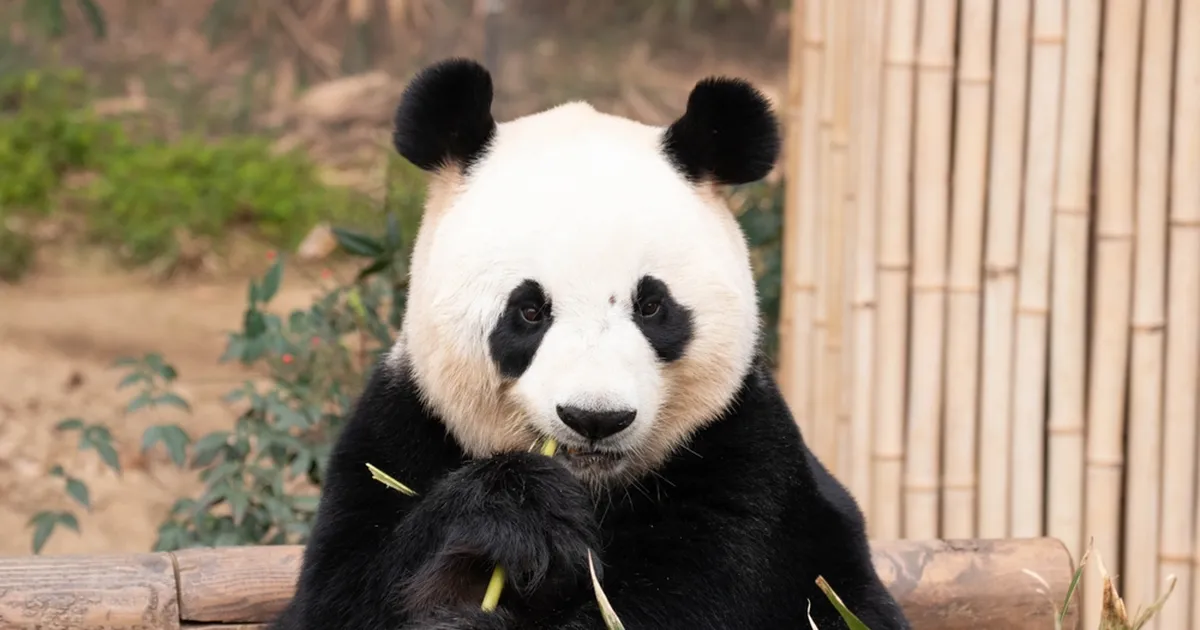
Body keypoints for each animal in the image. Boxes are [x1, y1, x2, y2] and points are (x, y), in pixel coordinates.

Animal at [269, 58, 911, 630]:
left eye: (651, 306)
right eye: (529, 310)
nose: (595, 418)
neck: (594, 487)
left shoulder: (743, 455)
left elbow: (697, 597)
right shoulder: (398, 430)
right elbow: (341, 596)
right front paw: (515, 513)